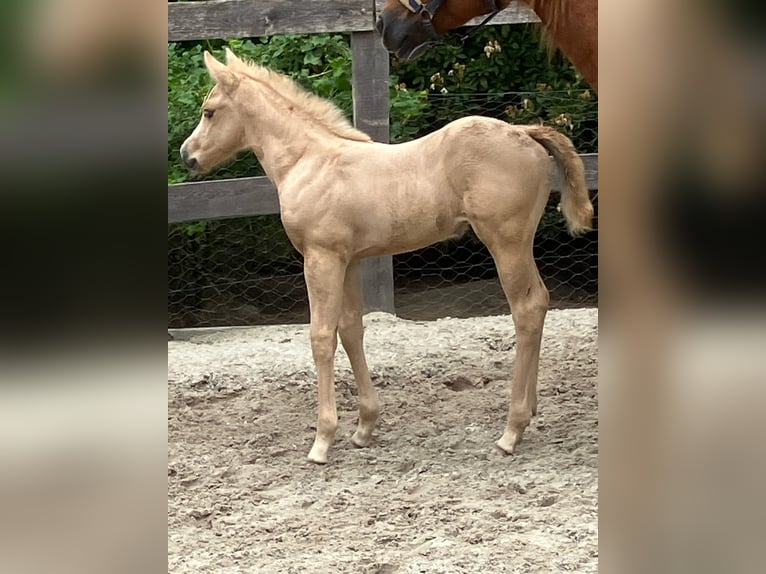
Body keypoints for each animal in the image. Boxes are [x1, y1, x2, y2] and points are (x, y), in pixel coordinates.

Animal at [180, 48, 593, 464]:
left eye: (209, 111)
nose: (187, 155)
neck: (308, 161)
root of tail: (525, 132)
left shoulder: (320, 258)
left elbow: (321, 337)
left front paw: (322, 440)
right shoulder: (349, 260)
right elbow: (351, 330)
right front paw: (364, 427)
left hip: (505, 241)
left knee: (526, 309)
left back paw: (512, 430)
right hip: (520, 242)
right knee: (541, 301)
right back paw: (532, 409)